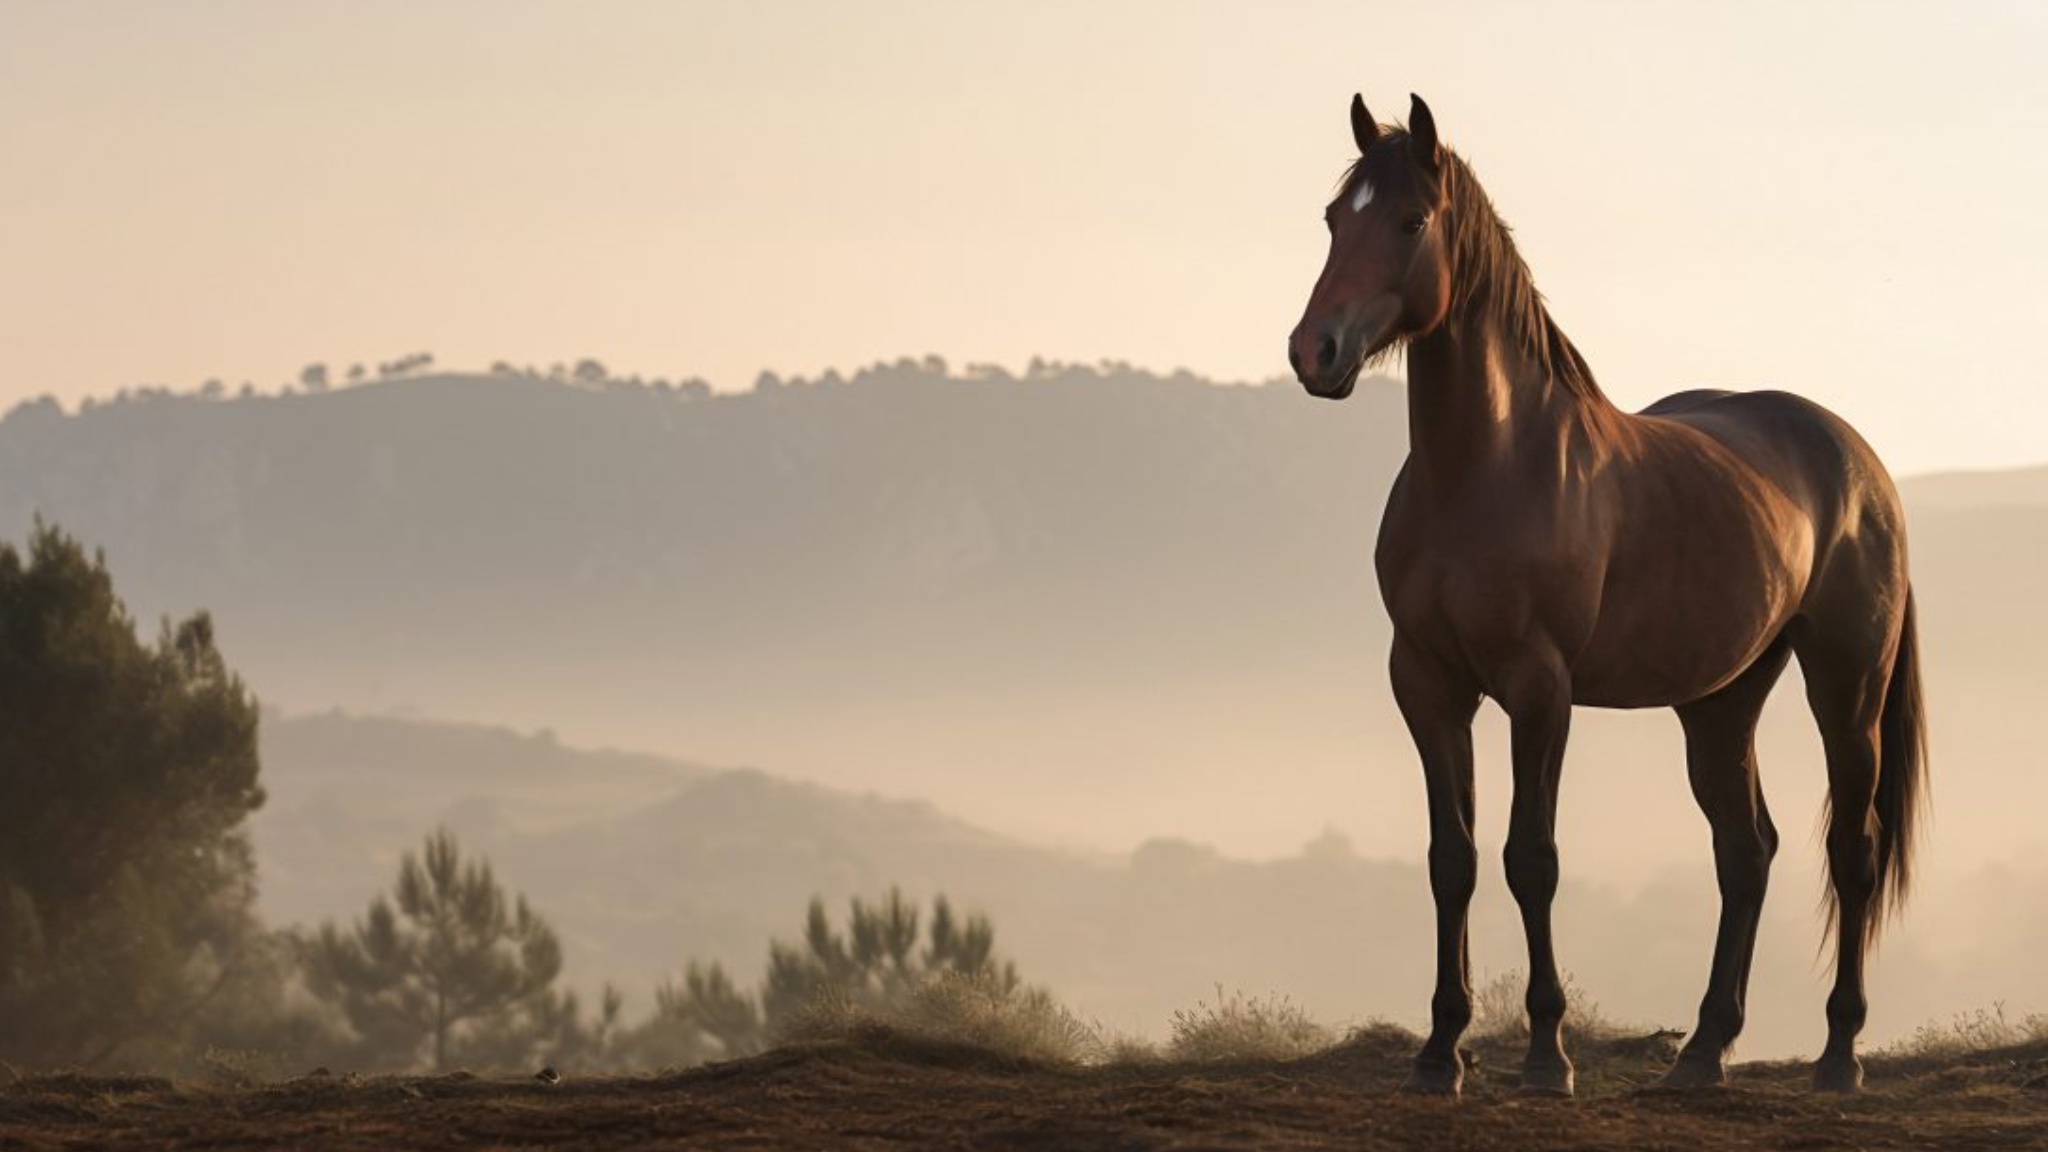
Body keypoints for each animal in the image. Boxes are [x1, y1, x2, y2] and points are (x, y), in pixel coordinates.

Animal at [1286, 94, 1925, 1090]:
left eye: (1410, 221)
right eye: (1329, 219)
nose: (1316, 351)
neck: (1483, 470)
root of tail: (1858, 459)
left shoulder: (1539, 691)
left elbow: (1532, 859)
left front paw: (1548, 1054)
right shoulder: (1428, 685)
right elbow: (1451, 860)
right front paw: (1440, 1051)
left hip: (1846, 687)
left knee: (1849, 853)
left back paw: (1838, 1055)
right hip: (1720, 702)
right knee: (1746, 852)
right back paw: (1701, 1053)